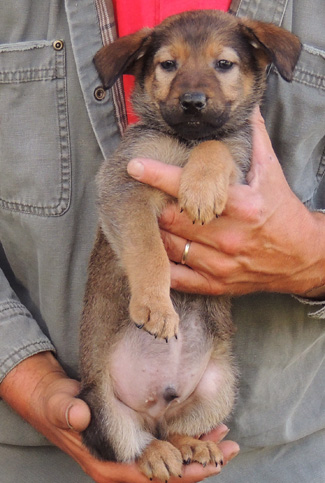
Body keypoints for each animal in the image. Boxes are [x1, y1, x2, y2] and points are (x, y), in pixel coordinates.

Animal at [79, 9, 302, 482]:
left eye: (224, 64)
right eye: (168, 65)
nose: (193, 102)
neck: (186, 142)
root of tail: (152, 408)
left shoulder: (237, 158)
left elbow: (218, 145)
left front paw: (199, 189)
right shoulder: (124, 182)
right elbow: (148, 248)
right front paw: (156, 307)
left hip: (220, 385)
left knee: (173, 426)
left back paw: (190, 446)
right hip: (100, 407)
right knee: (133, 442)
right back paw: (155, 456)